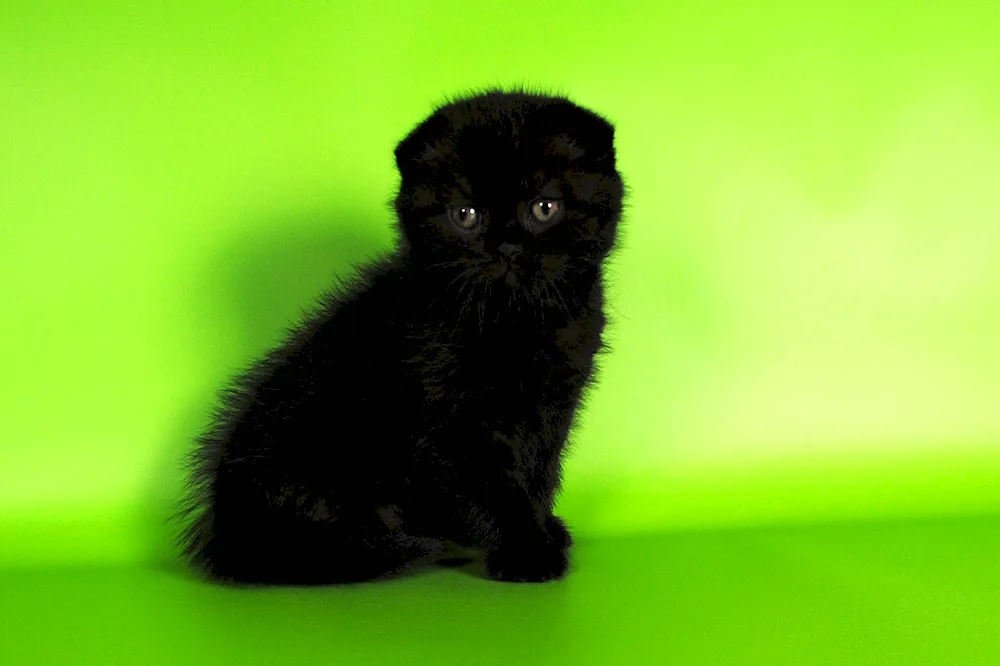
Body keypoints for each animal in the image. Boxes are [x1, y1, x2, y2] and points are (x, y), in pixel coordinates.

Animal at [176, 88, 620, 580]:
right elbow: (498, 485)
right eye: (465, 214)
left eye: (544, 207)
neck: (515, 324)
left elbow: (541, 470)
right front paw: (527, 553)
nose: (506, 247)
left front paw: (542, 529)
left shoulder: (554, 405)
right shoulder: (454, 422)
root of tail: (231, 531)